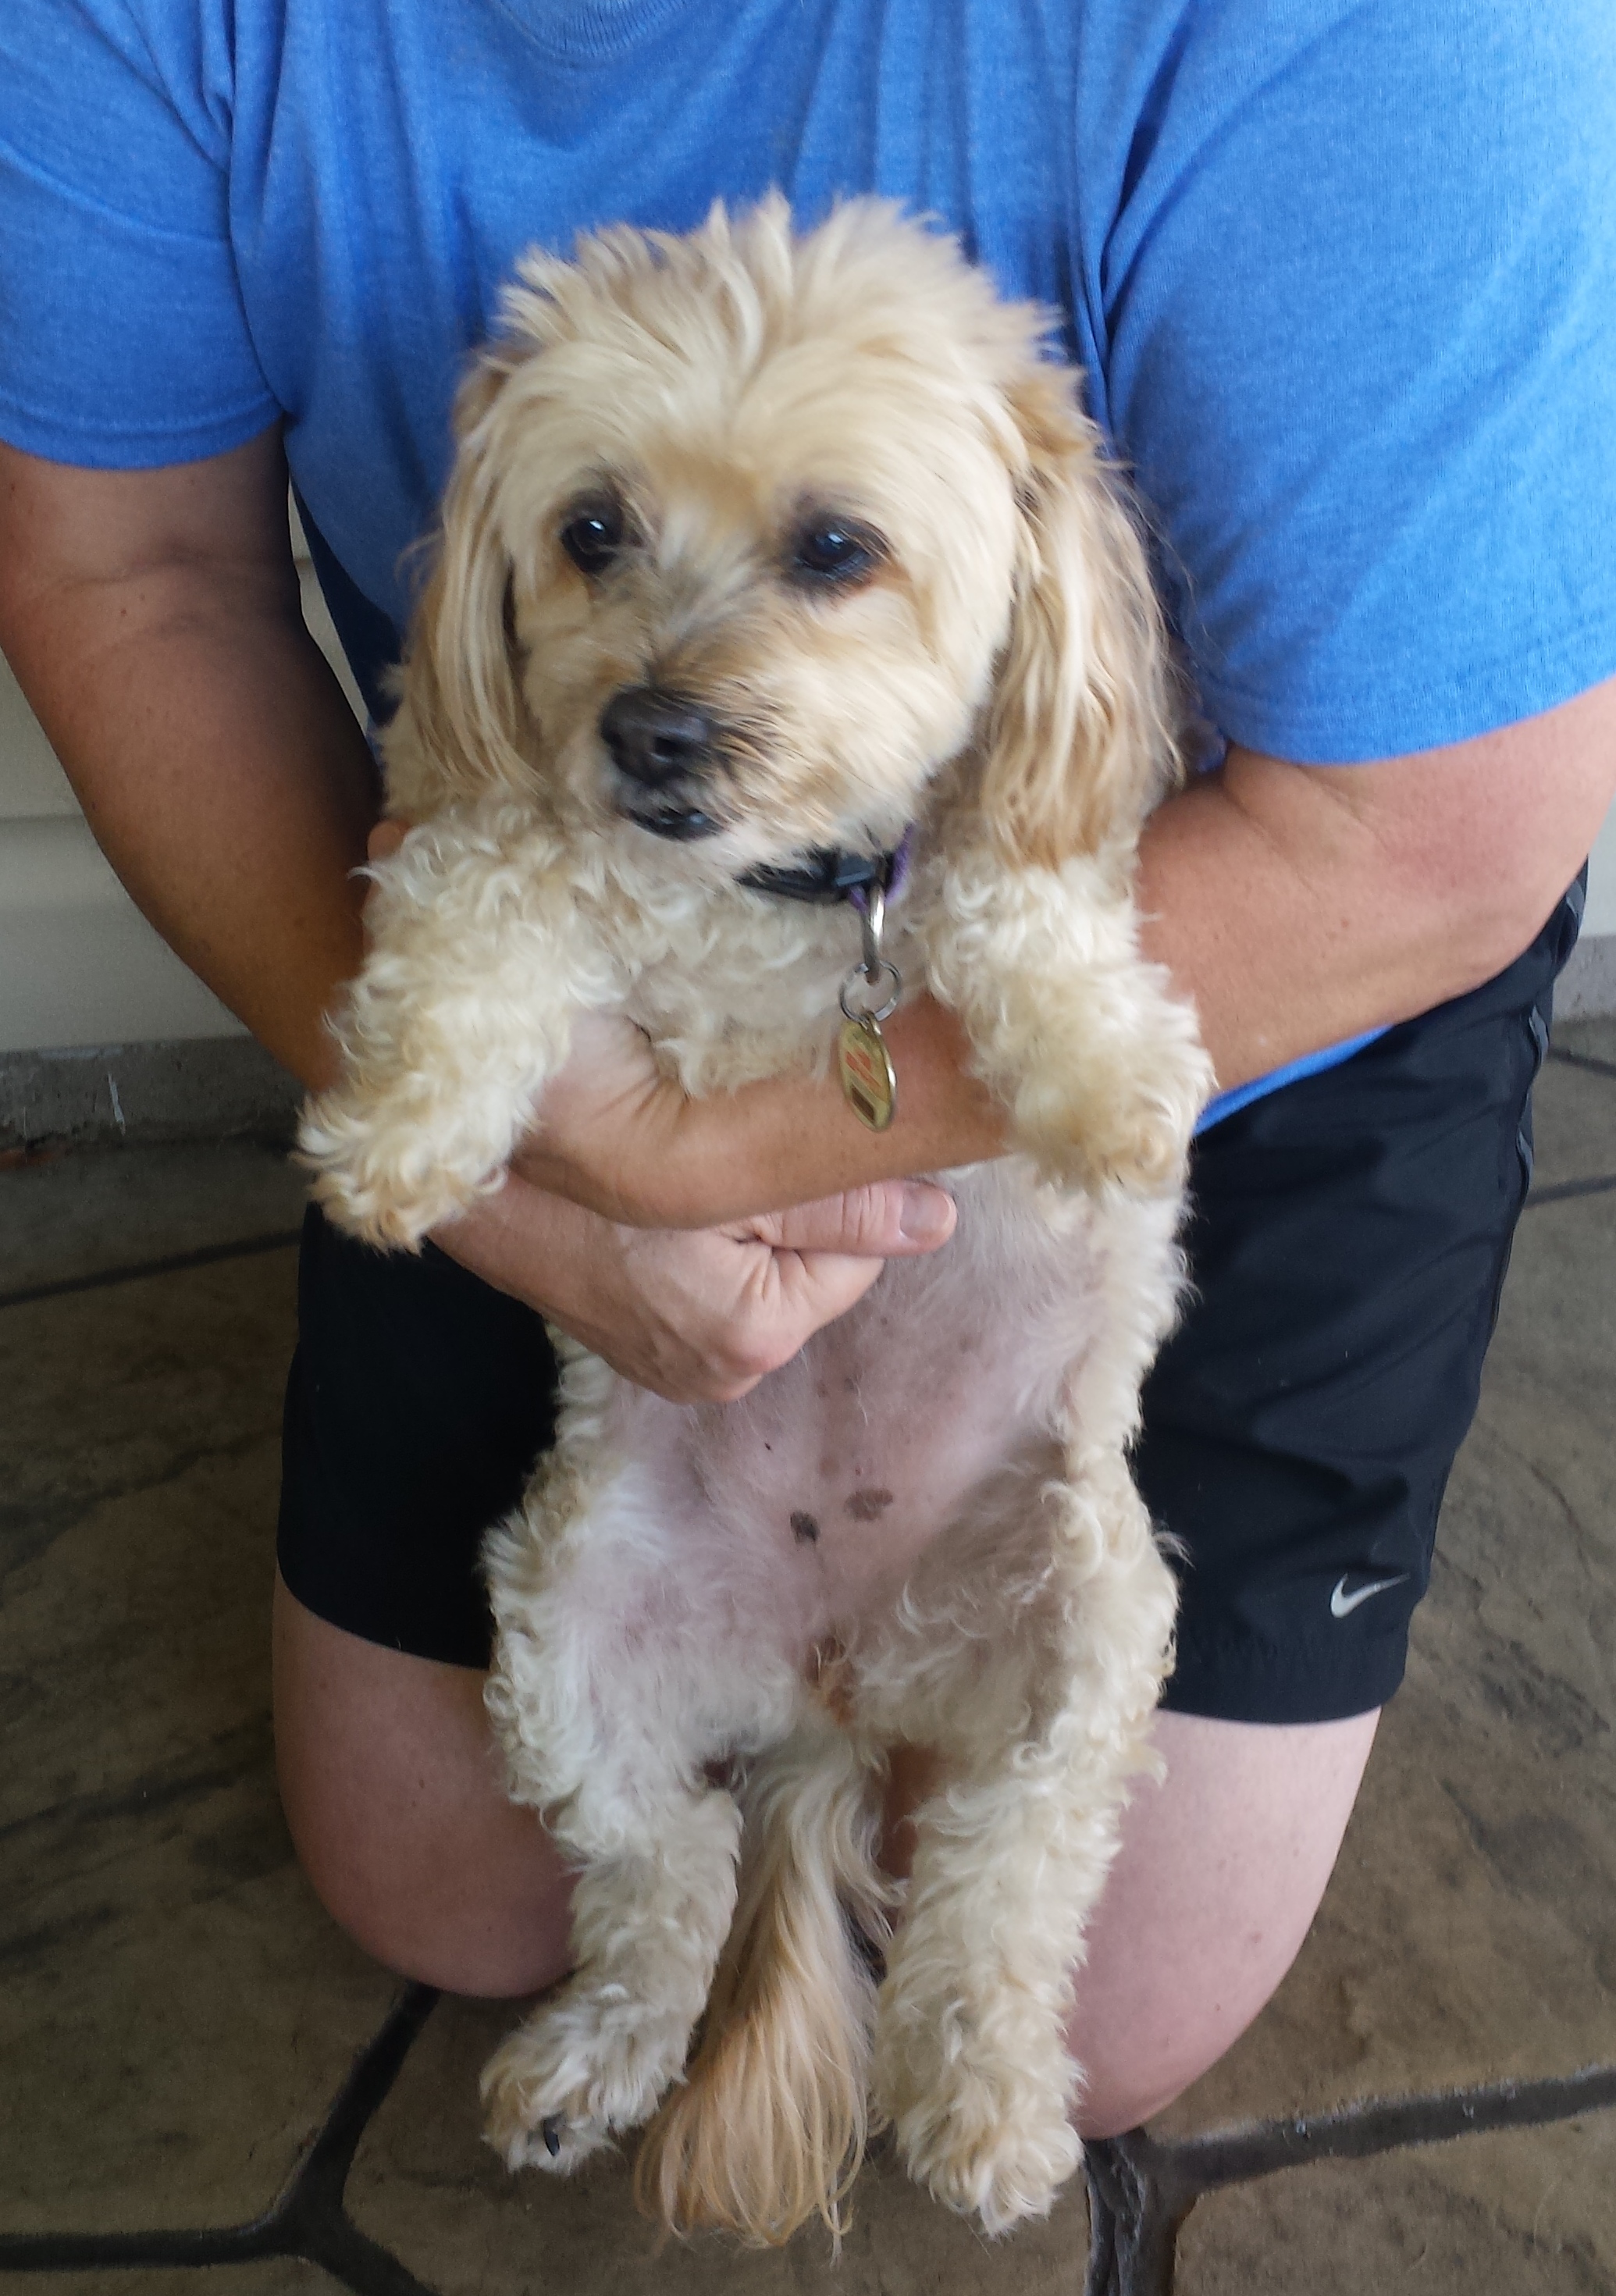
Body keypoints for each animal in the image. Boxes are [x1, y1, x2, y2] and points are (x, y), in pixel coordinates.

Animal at [303, 197, 1212, 2241]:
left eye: (835, 549)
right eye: (588, 530)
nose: (648, 730)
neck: (770, 898)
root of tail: (831, 1684)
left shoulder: (989, 844)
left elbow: (1005, 886)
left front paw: (1107, 1070)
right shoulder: (517, 841)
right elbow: (479, 890)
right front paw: (400, 1137)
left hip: (1083, 1638)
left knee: (995, 1894)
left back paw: (983, 2101)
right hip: (565, 1635)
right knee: (668, 1866)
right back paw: (598, 2052)